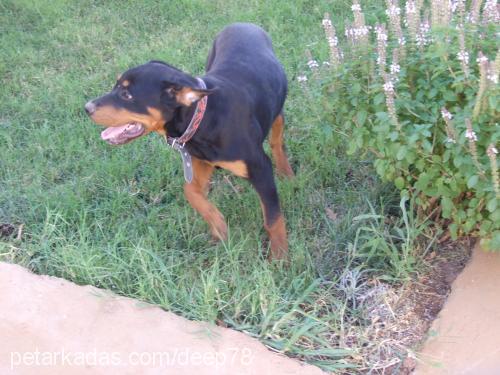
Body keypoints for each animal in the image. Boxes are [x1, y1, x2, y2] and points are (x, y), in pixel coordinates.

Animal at [85, 22, 292, 260]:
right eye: (116, 86)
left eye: (127, 95)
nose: (87, 108)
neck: (203, 117)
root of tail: (243, 23)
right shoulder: (199, 160)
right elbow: (190, 191)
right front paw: (218, 225)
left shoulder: (260, 169)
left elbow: (273, 219)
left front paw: (280, 257)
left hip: (277, 113)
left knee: (277, 142)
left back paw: (287, 173)